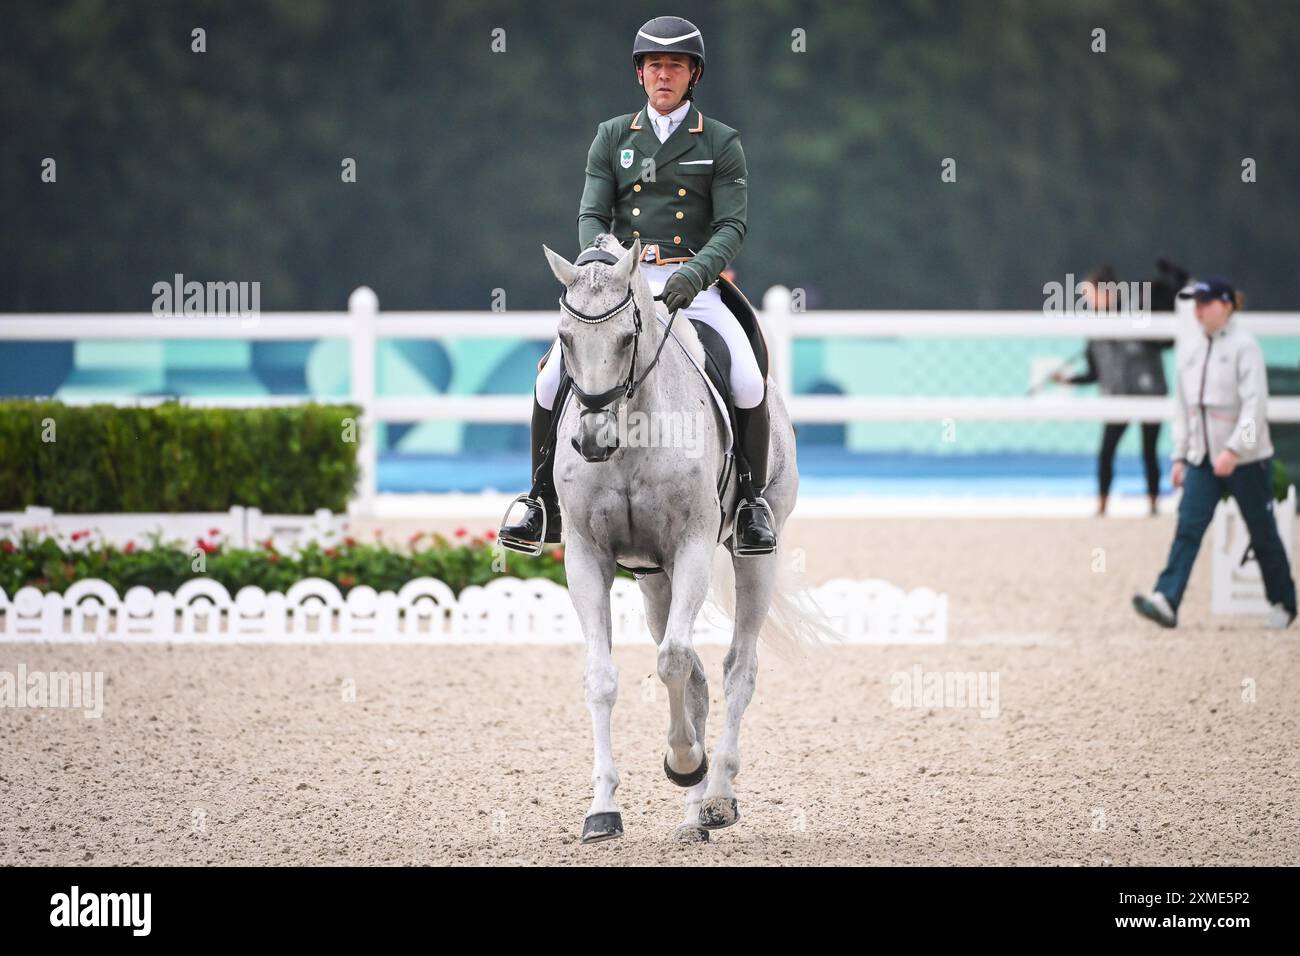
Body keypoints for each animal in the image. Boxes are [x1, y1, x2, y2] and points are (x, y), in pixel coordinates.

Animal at [543, 234, 816, 842]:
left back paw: (715, 796)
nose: (592, 441)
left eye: (626, 338)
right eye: (564, 339)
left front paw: (685, 764)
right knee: (695, 674)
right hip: (653, 579)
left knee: (737, 668)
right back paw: (694, 814)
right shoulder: (587, 557)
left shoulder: (690, 547)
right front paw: (602, 810)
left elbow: (672, 661)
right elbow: (604, 677)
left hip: (755, 555)